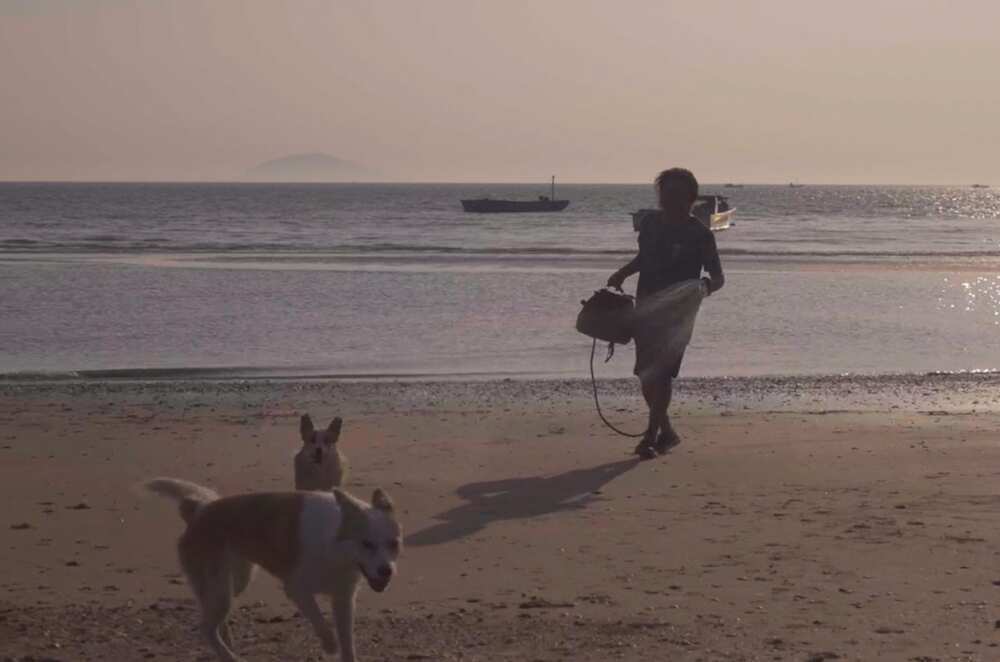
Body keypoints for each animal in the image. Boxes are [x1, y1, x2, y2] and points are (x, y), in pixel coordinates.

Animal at [146, 480, 402, 660]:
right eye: (366, 544)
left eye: (393, 543)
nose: (386, 571)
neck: (334, 545)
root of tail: (198, 509)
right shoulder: (297, 589)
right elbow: (320, 621)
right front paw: (330, 645)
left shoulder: (343, 598)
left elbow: (347, 642)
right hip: (219, 588)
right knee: (206, 628)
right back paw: (230, 657)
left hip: (235, 582)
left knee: (214, 617)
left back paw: (228, 643)